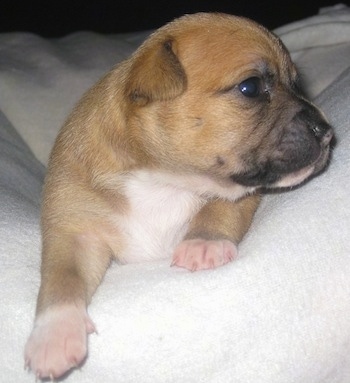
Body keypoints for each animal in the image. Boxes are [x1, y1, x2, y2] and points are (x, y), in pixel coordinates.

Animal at [23, 12, 330, 380]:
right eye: (251, 88)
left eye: (297, 84)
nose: (326, 131)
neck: (162, 179)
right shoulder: (75, 232)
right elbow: (61, 278)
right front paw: (53, 336)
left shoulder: (241, 192)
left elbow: (219, 208)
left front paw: (204, 243)